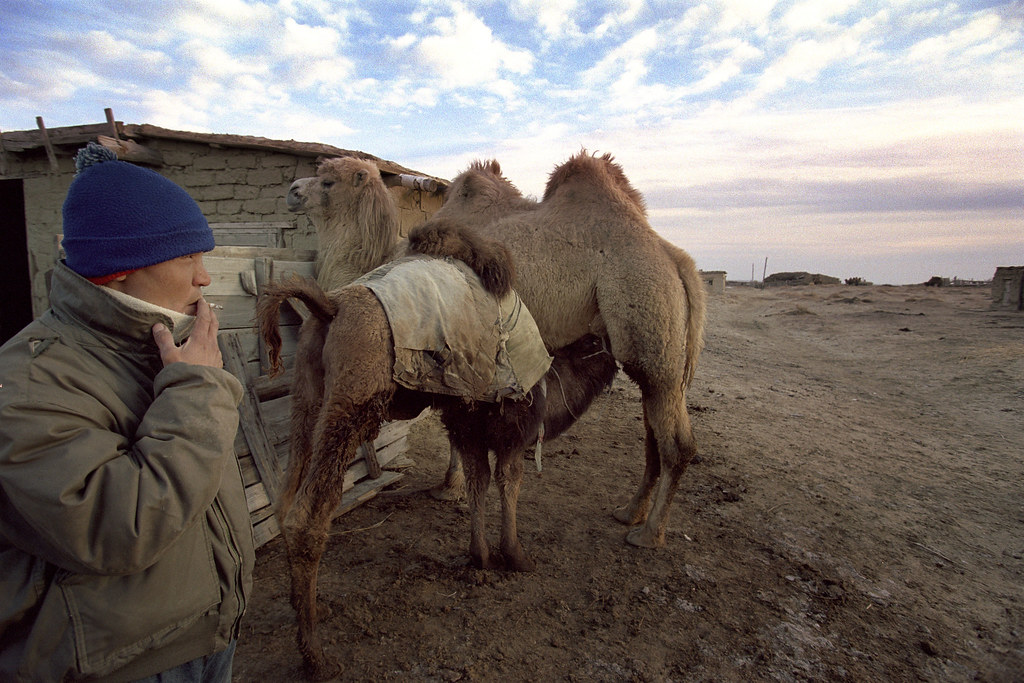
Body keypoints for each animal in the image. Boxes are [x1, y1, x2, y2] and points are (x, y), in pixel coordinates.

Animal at [256, 231, 616, 680]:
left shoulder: (467, 427)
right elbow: (509, 483)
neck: (549, 382)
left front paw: (480, 557)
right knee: (308, 518)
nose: (617, 351)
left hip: (307, 393)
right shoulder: (512, 430)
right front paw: (516, 556)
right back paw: (316, 658)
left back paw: (309, 608)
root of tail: (331, 306)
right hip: (353, 400)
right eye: (597, 340)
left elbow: (478, 482)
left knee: (286, 497)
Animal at [409, 151, 707, 549]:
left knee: (675, 443)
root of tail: (678, 262)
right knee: (654, 436)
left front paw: (448, 487)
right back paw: (629, 512)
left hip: (650, 333)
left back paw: (648, 534)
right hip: (664, 357)